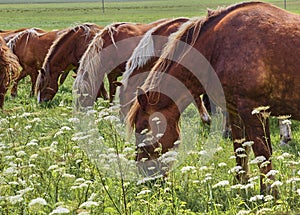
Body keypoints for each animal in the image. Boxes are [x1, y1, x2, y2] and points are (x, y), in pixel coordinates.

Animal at [126, 1, 300, 195]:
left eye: (143, 132)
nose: (145, 179)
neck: (218, 46)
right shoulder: (236, 111)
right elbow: (241, 150)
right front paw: (242, 186)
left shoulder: (253, 111)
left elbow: (263, 154)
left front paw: (270, 194)